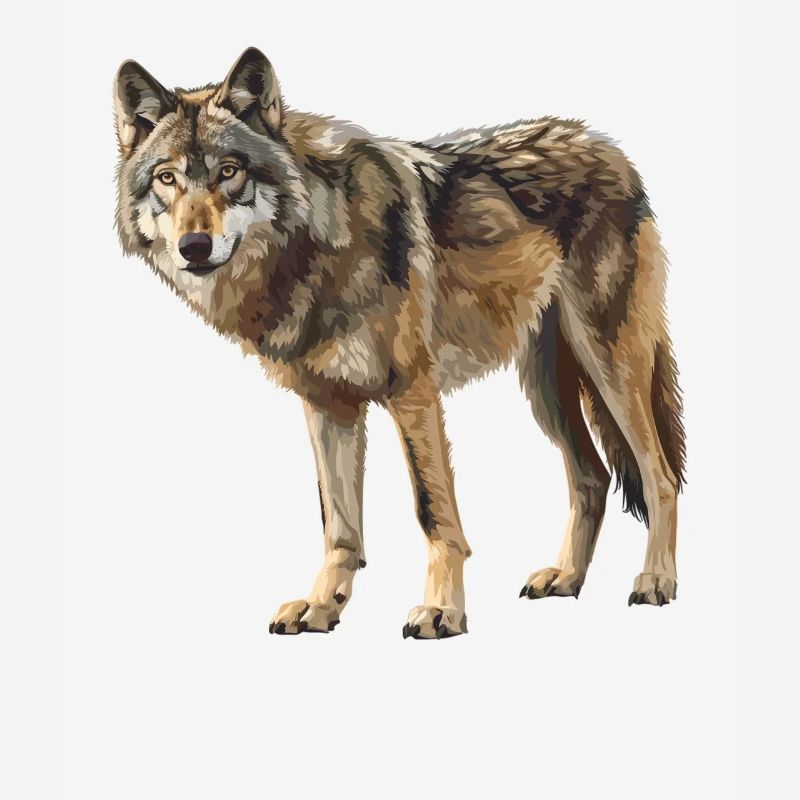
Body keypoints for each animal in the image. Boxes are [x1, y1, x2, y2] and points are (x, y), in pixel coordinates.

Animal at [114, 47, 685, 638]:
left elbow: (433, 512)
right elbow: (339, 525)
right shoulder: (328, 405)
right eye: (166, 178)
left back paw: (656, 581)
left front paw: (442, 610)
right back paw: (566, 578)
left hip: (610, 367)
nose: (194, 246)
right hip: (545, 389)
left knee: (660, 476)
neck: (318, 246)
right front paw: (322, 607)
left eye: (229, 172)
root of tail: (606, 146)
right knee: (592, 478)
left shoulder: (412, 393)